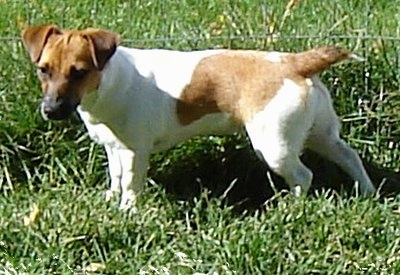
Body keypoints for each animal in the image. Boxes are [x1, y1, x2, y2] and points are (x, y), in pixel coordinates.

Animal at [20, 24, 376, 212]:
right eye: (43, 70)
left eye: (79, 72)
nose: (50, 111)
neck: (110, 81)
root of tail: (294, 62)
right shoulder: (114, 148)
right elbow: (116, 177)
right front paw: (110, 199)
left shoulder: (134, 151)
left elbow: (131, 184)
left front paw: (127, 211)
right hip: (320, 133)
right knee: (349, 156)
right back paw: (368, 192)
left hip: (275, 145)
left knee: (303, 176)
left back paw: (291, 208)